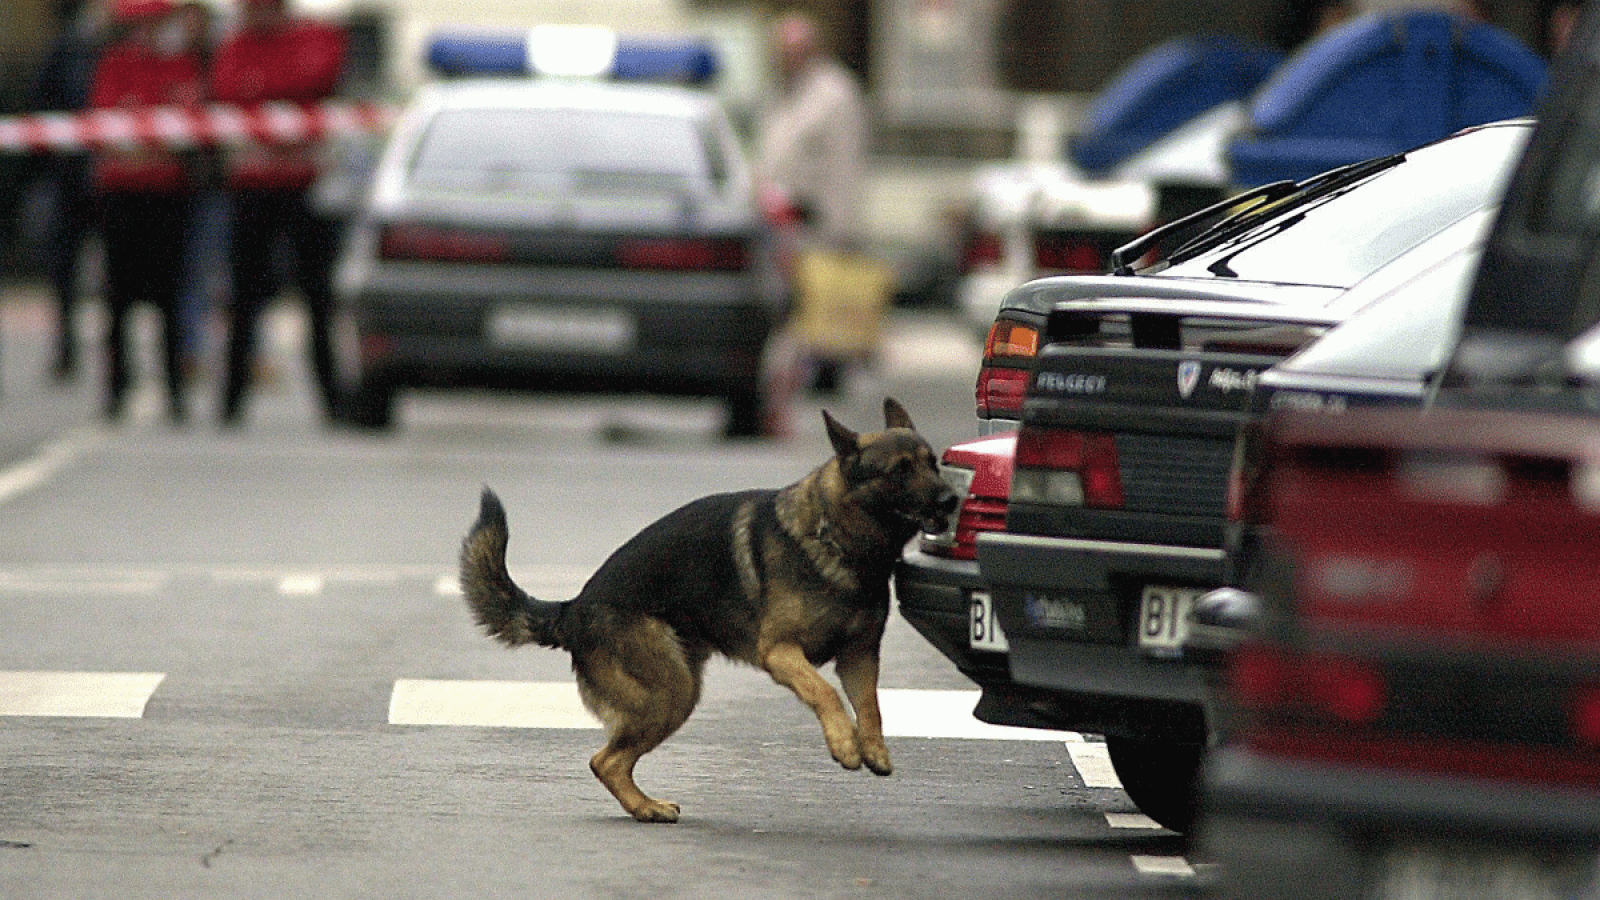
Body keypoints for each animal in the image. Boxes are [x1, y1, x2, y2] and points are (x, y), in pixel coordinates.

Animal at [457, 397, 953, 819]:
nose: (950, 499)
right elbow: (825, 692)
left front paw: (873, 749)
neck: (836, 539)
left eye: (933, 463)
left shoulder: (860, 657)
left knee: (610, 761)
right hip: (671, 693)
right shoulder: (781, 653)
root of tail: (573, 608)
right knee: (605, 760)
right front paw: (845, 745)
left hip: (677, 691)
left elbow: (870, 706)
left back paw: (644, 806)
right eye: (900, 470)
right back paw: (646, 808)